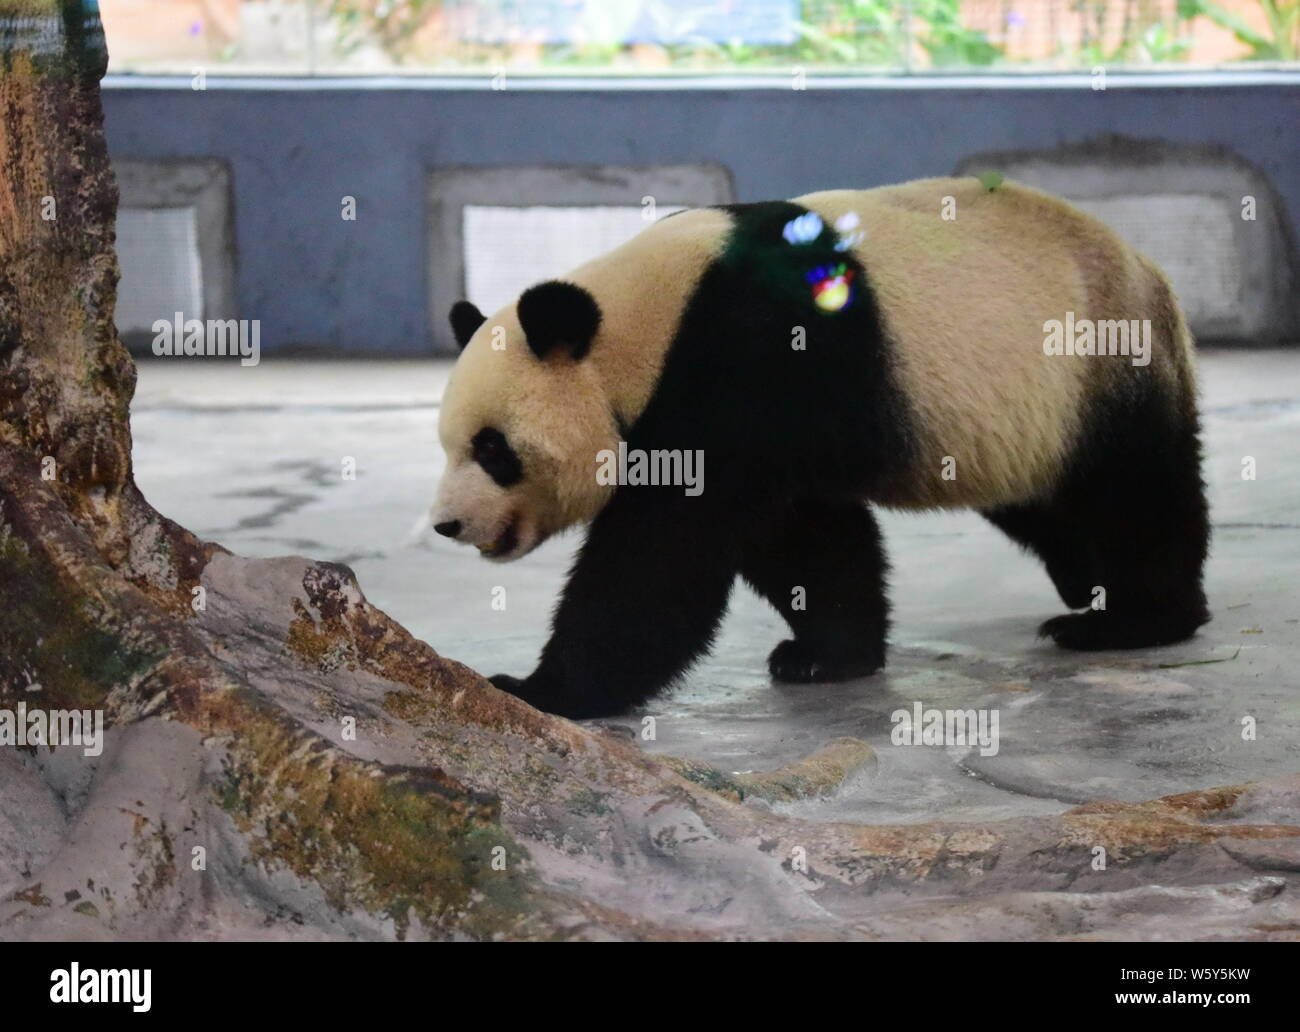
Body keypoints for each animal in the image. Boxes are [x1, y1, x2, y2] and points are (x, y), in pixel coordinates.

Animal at [434, 176, 1206, 717]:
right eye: (449, 447)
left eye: (493, 449)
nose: (448, 524)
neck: (641, 325)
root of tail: (1153, 272)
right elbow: (804, 537)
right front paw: (827, 654)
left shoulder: (745, 357)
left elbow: (661, 556)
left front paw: (536, 688)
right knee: (1042, 500)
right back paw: (1084, 585)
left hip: (1096, 361)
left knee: (1134, 492)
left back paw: (1136, 620)